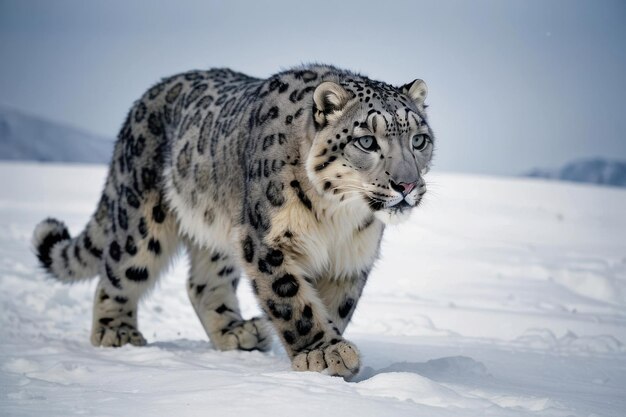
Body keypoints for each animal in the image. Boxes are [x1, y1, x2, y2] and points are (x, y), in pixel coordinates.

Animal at [31, 64, 432, 376]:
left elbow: (336, 305)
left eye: (419, 140)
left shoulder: (351, 256)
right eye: (366, 141)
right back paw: (116, 333)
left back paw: (236, 333)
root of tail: (143, 100)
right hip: (141, 218)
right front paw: (323, 353)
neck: (338, 218)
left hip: (217, 234)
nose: (407, 184)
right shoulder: (267, 240)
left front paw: (332, 349)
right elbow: (292, 299)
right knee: (118, 271)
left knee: (202, 283)